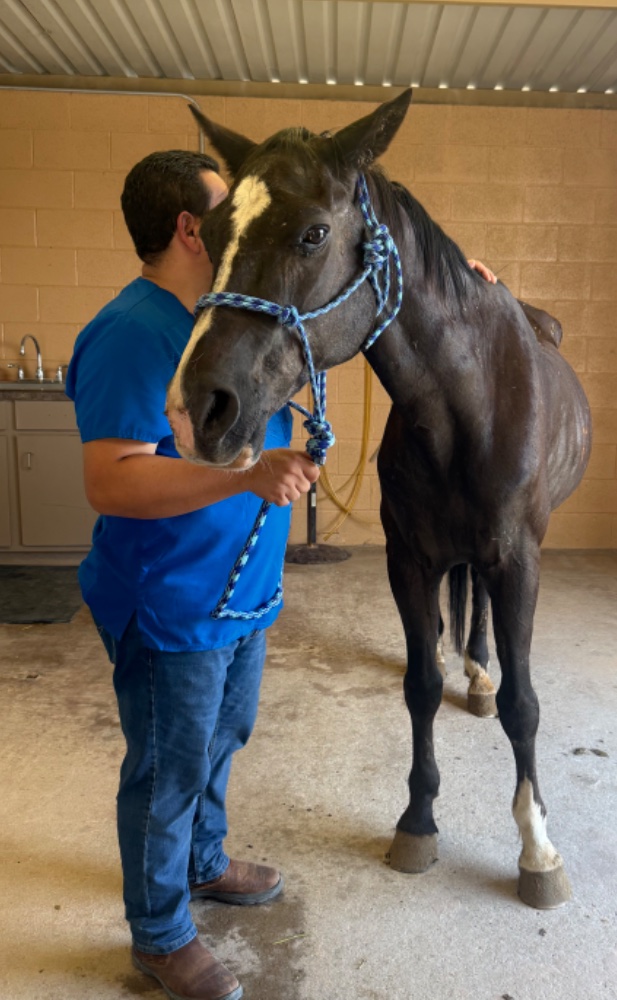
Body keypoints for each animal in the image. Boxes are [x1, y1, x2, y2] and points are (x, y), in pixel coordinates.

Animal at [166, 89, 591, 909]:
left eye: (314, 233)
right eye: (211, 233)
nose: (196, 410)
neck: (467, 404)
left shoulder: (518, 560)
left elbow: (524, 704)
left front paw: (538, 848)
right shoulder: (410, 559)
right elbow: (419, 685)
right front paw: (418, 822)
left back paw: (482, 674)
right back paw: (472, 671)